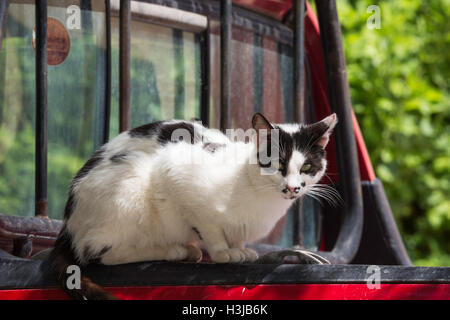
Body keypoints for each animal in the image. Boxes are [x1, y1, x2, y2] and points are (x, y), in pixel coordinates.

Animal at [49, 111, 338, 298]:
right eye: (278, 164)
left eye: (307, 167)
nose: (292, 188)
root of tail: (68, 227)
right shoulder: (177, 172)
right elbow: (210, 230)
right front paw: (224, 253)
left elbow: (235, 235)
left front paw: (239, 249)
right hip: (129, 189)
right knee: (105, 254)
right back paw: (176, 250)